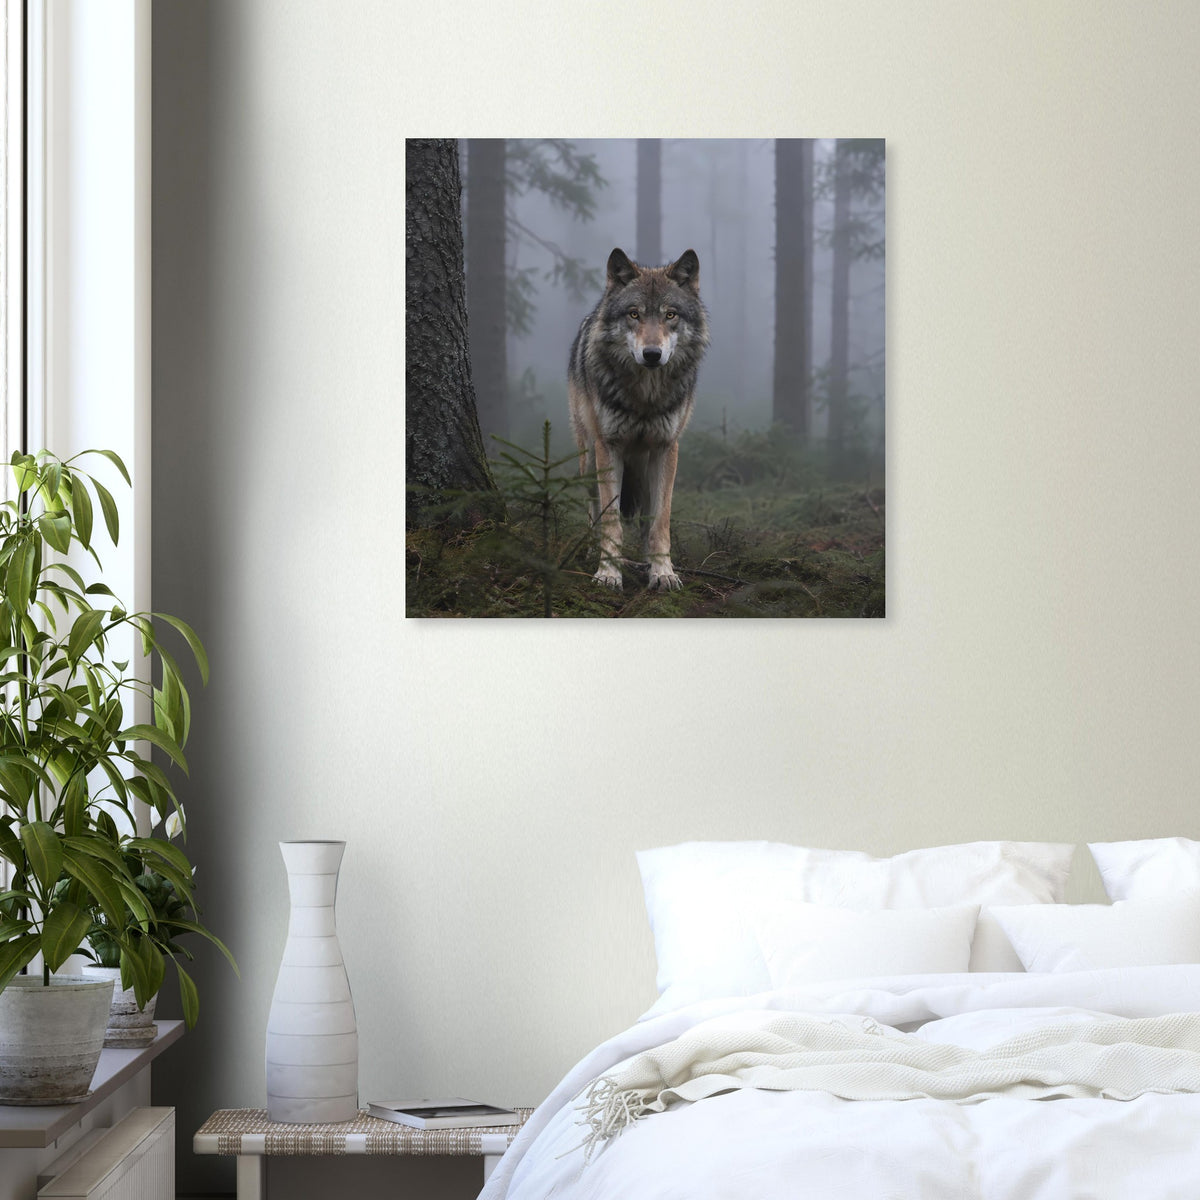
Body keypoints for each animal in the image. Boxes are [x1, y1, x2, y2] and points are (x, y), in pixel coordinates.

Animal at [568, 247, 710, 591]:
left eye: (670, 315)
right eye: (634, 314)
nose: (652, 354)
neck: (646, 397)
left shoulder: (666, 448)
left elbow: (660, 522)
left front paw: (663, 571)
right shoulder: (609, 447)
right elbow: (611, 520)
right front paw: (608, 572)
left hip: (645, 468)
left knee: (646, 517)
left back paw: (647, 562)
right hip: (588, 459)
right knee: (593, 509)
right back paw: (589, 551)